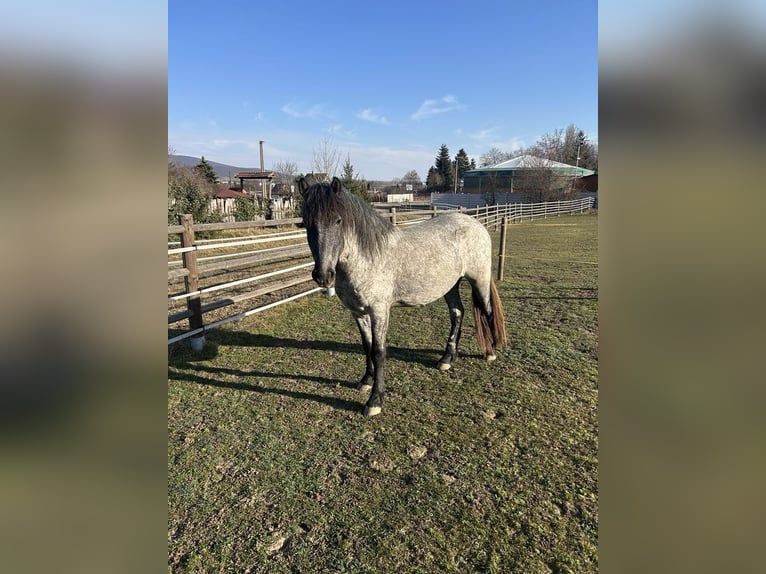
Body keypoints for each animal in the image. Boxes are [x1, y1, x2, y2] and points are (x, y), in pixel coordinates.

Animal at [300, 178, 510, 416]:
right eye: (306, 223)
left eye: (338, 220)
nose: (323, 276)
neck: (368, 257)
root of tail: (476, 224)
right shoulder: (358, 312)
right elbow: (366, 346)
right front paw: (366, 381)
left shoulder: (379, 311)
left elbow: (378, 351)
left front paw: (375, 400)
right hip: (450, 286)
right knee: (457, 313)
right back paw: (447, 359)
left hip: (479, 280)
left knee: (487, 311)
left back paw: (491, 352)